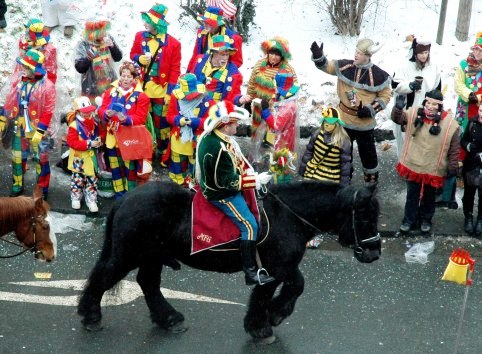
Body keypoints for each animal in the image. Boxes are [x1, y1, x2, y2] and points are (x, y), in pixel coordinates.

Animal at [78, 180, 380, 342]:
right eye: (365, 217)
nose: (374, 253)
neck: (288, 215)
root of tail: (127, 199)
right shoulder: (276, 268)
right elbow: (284, 288)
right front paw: (268, 321)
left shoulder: (276, 269)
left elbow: (280, 289)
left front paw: (266, 320)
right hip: (128, 255)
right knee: (104, 277)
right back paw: (91, 316)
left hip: (151, 256)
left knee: (147, 283)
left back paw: (170, 319)